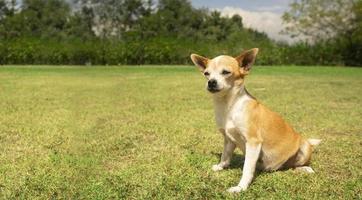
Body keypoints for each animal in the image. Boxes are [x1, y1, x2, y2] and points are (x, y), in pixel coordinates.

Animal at [191, 48, 320, 192]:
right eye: (206, 74)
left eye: (226, 72)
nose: (211, 82)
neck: (229, 105)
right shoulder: (229, 139)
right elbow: (225, 155)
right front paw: (220, 166)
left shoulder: (253, 142)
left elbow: (247, 169)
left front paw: (240, 188)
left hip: (304, 147)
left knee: (296, 165)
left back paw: (305, 168)